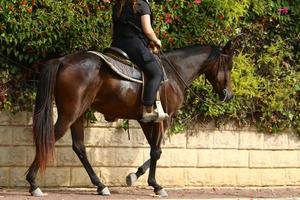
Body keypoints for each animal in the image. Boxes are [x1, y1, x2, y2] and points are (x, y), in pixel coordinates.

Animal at [25, 38, 237, 197]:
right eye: (229, 66)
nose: (228, 95)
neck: (174, 72)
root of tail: (62, 60)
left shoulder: (146, 120)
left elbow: (154, 149)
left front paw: (135, 175)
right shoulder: (163, 119)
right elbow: (156, 151)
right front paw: (156, 185)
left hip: (78, 114)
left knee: (79, 147)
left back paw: (100, 185)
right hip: (70, 114)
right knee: (50, 139)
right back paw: (33, 183)